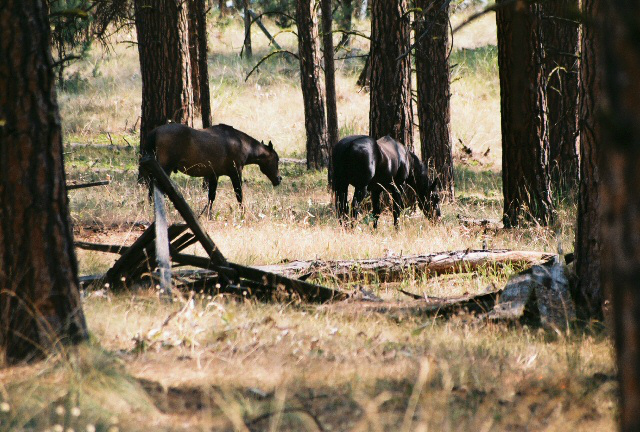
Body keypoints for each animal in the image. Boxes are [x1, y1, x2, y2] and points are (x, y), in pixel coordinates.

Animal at [142, 123, 281, 213]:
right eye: (277, 159)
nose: (279, 179)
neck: (241, 143)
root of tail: (156, 131)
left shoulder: (214, 175)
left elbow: (211, 197)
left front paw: (209, 215)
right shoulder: (236, 173)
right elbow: (239, 195)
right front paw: (243, 213)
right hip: (165, 168)